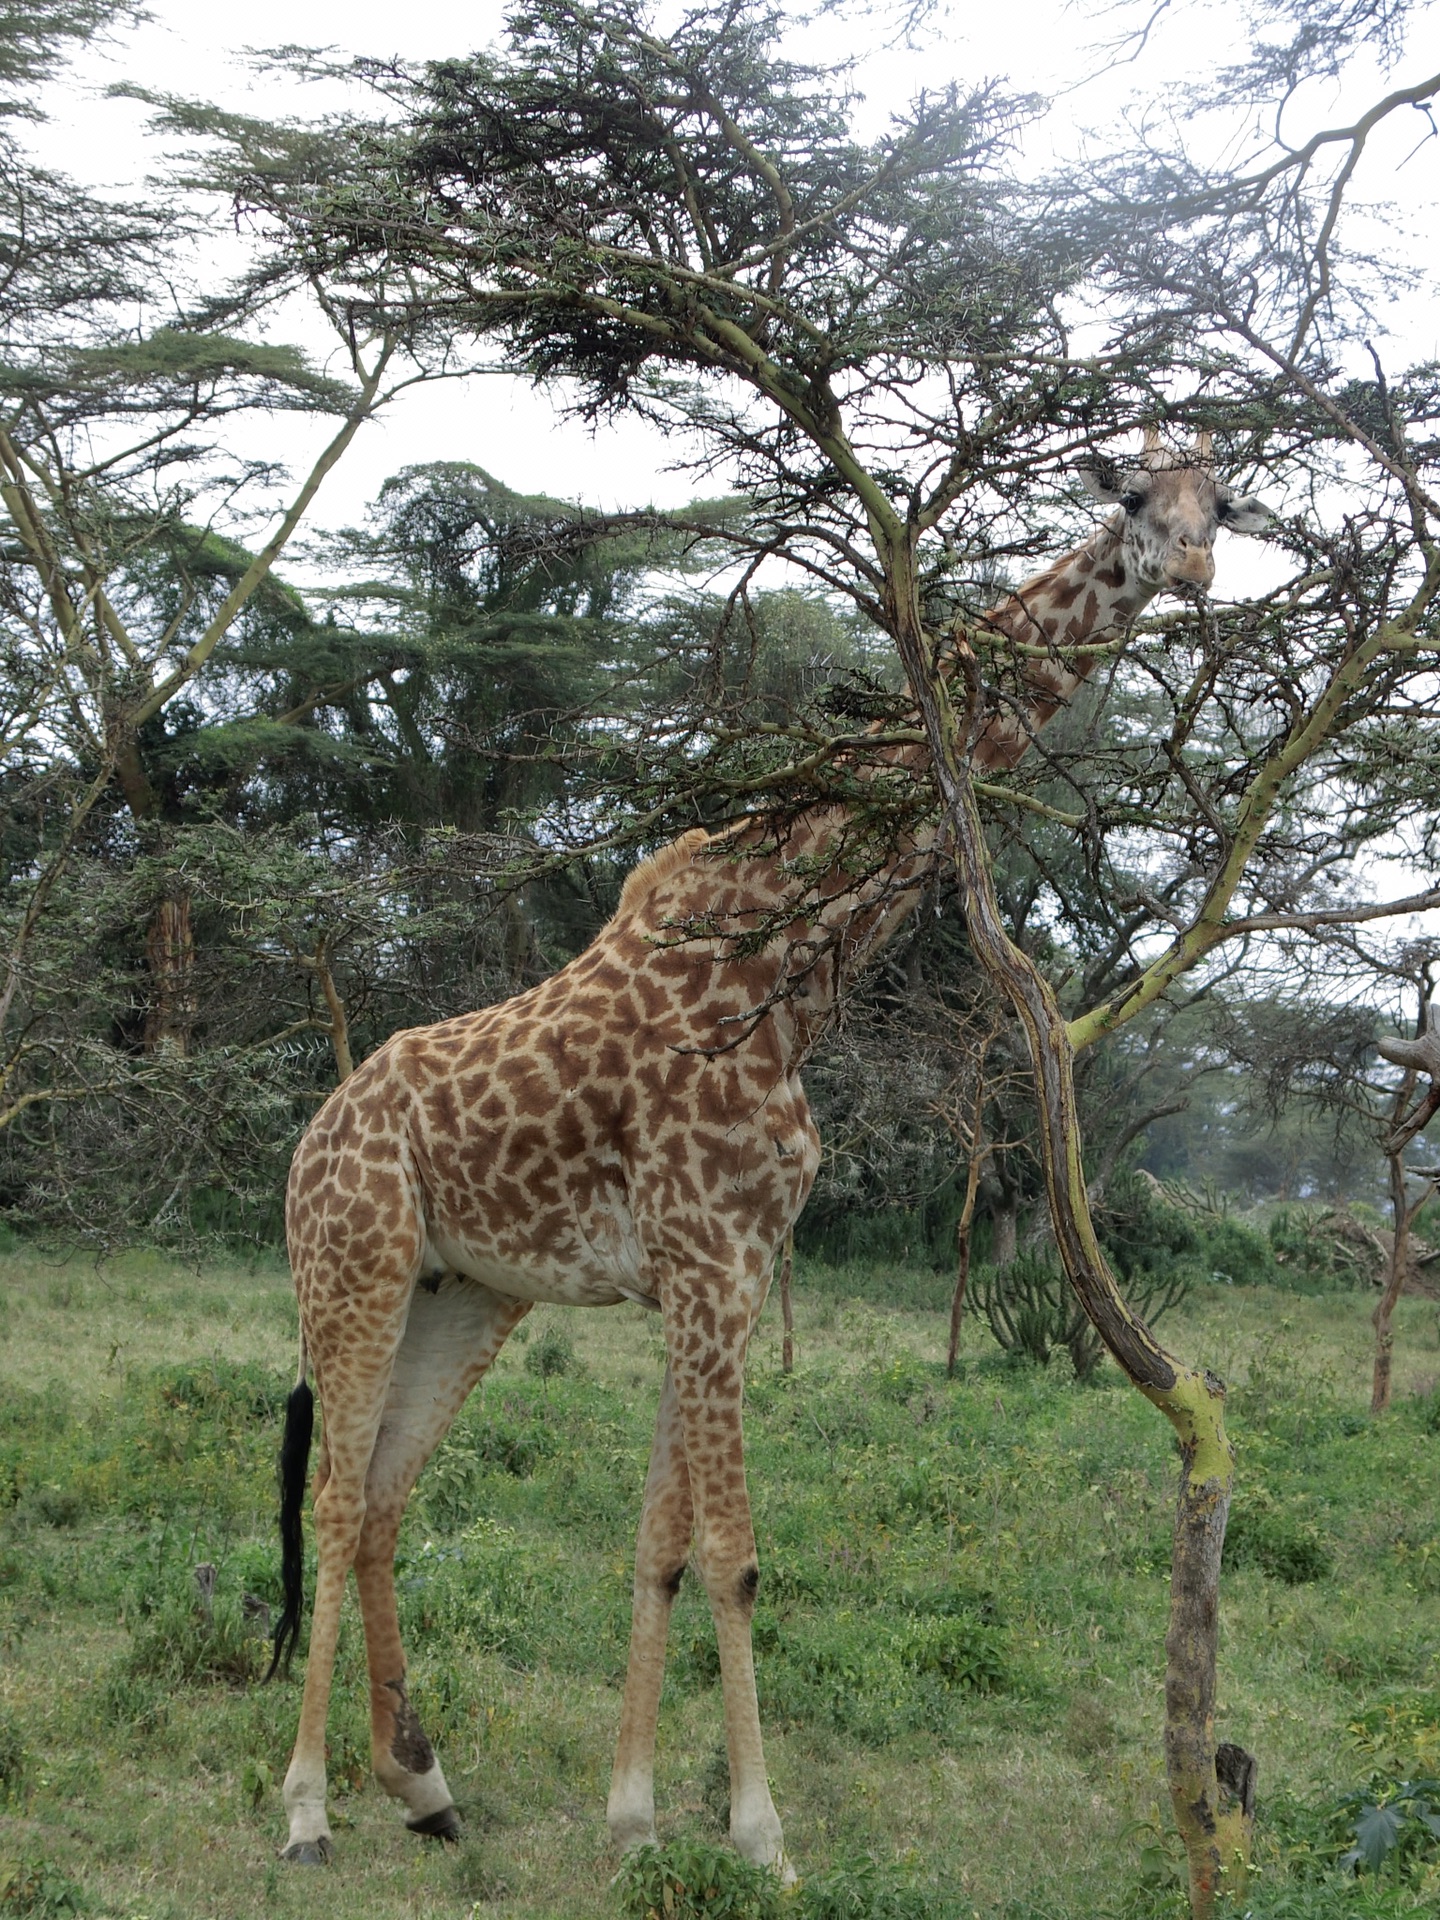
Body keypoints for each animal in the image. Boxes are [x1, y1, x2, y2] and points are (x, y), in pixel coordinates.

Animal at [264, 432, 1267, 1858]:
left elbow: (662, 1544)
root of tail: (312, 1136)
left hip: (466, 1291)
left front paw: (631, 1816)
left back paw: (424, 1783)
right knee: (340, 1495)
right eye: (1134, 496)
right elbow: (733, 1555)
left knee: (387, 1501)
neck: (788, 974)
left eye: (1221, 503)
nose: (1187, 567)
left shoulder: (726, 1276)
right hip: (352, 1263)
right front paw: (759, 1833)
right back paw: (305, 1809)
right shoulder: (708, 1256)